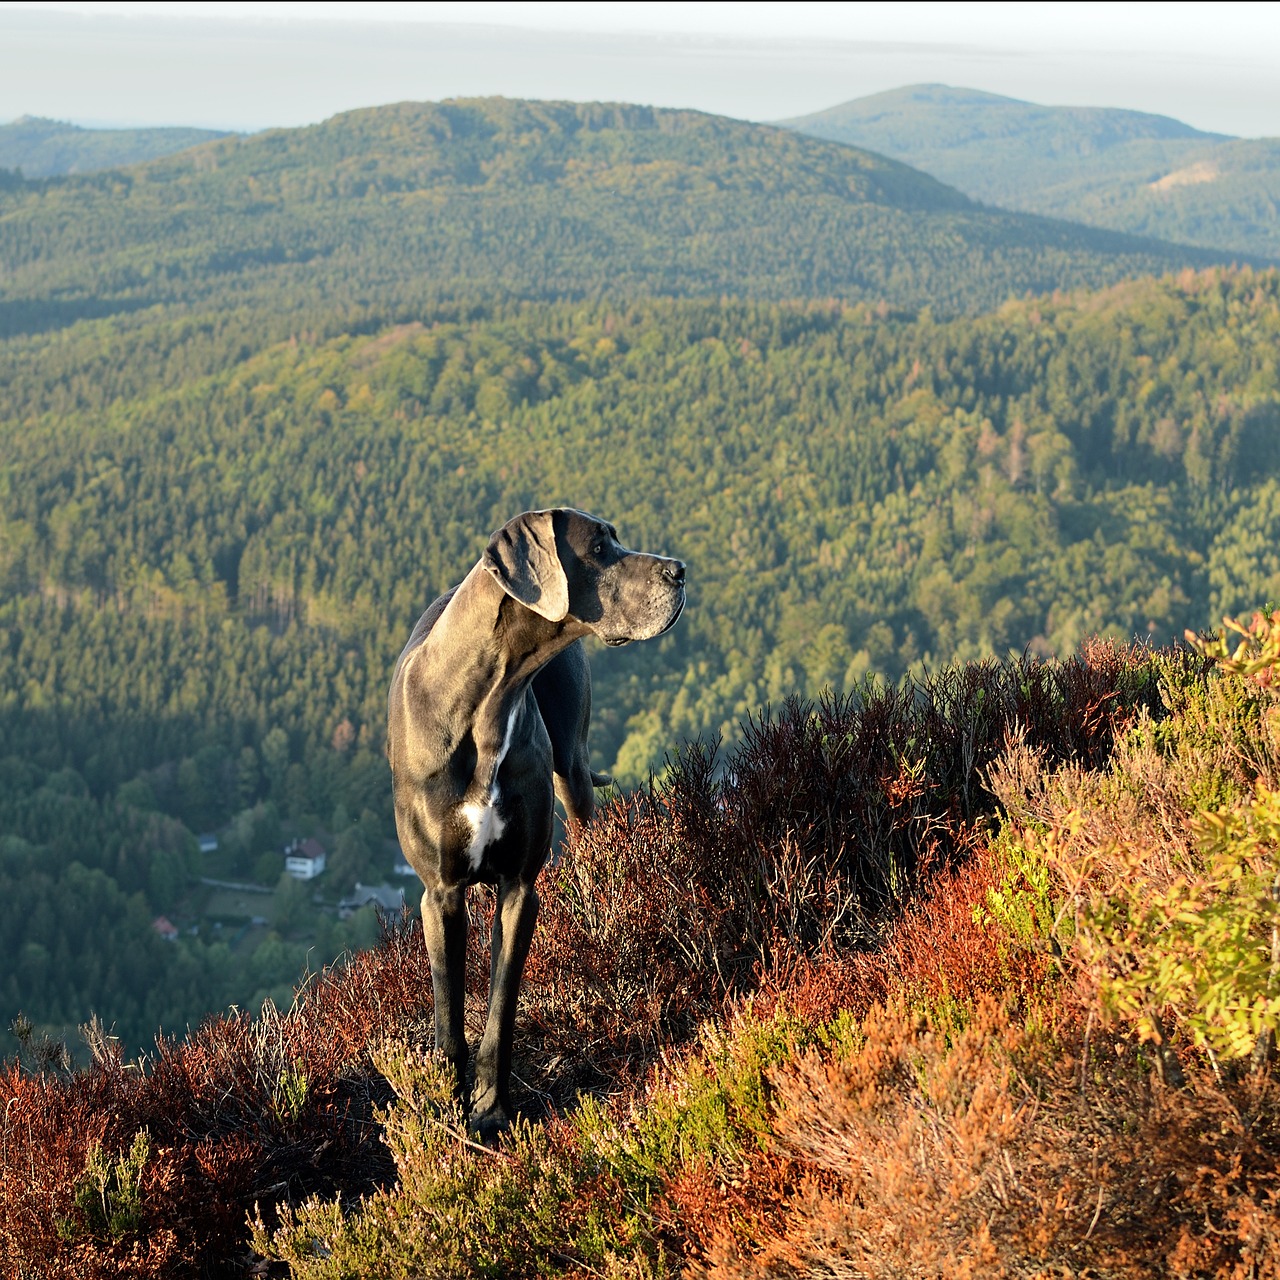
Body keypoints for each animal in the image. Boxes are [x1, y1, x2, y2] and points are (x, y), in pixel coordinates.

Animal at [386, 504, 686, 1136]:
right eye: (599, 547)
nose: (680, 570)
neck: (485, 701)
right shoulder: (441, 892)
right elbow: (450, 1014)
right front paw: (448, 1106)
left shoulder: (521, 887)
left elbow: (500, 1011)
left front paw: (491, 1110)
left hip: (573, 768)